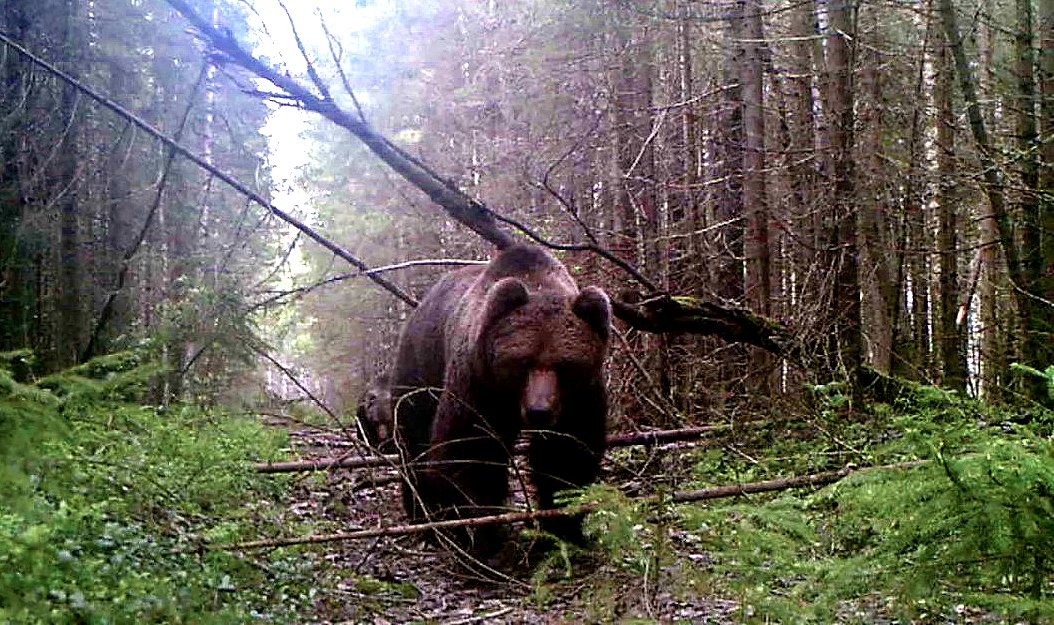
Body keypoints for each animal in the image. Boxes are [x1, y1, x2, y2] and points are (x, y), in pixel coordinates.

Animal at [392, 243, 615, 556]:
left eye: (565, 365)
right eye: (523, 362)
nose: (539, 411)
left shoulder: (579, 398)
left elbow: (567, 453)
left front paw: (560, 530)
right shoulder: (479, 384)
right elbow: (471, 447)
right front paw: (481, 531)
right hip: (421, 367)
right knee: (413, 439)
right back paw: (427, 519)